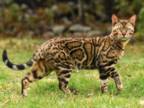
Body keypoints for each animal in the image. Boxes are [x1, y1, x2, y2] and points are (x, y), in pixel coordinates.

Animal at [2, 14, 137, 96]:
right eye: (119, 30)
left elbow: (104, 82)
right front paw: (120, 87)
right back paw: (72, 95)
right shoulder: (106, 63)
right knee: (61, 85)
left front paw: (105, 94)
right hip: (65, 67)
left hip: (43, 68)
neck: (118, 43)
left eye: (127, 29)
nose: (124, 34)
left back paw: (24, 95)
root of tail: (45, 44)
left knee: (25, 79)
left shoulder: (103, 68)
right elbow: (117, 74)